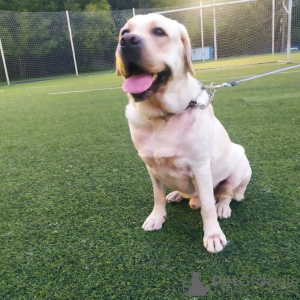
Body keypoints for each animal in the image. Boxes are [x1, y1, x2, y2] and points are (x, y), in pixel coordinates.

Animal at [116, 14, 252, 253]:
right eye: (124, 32)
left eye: (159, 32)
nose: (127, 41)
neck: (163, 116)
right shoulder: (151, 167)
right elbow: (157, 196)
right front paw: (157, 217)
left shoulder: (200, 167)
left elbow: (207, 206)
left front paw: (213, 235)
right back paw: (178, 194)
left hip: (239, 163)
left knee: (225, 194)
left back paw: (223, 207)